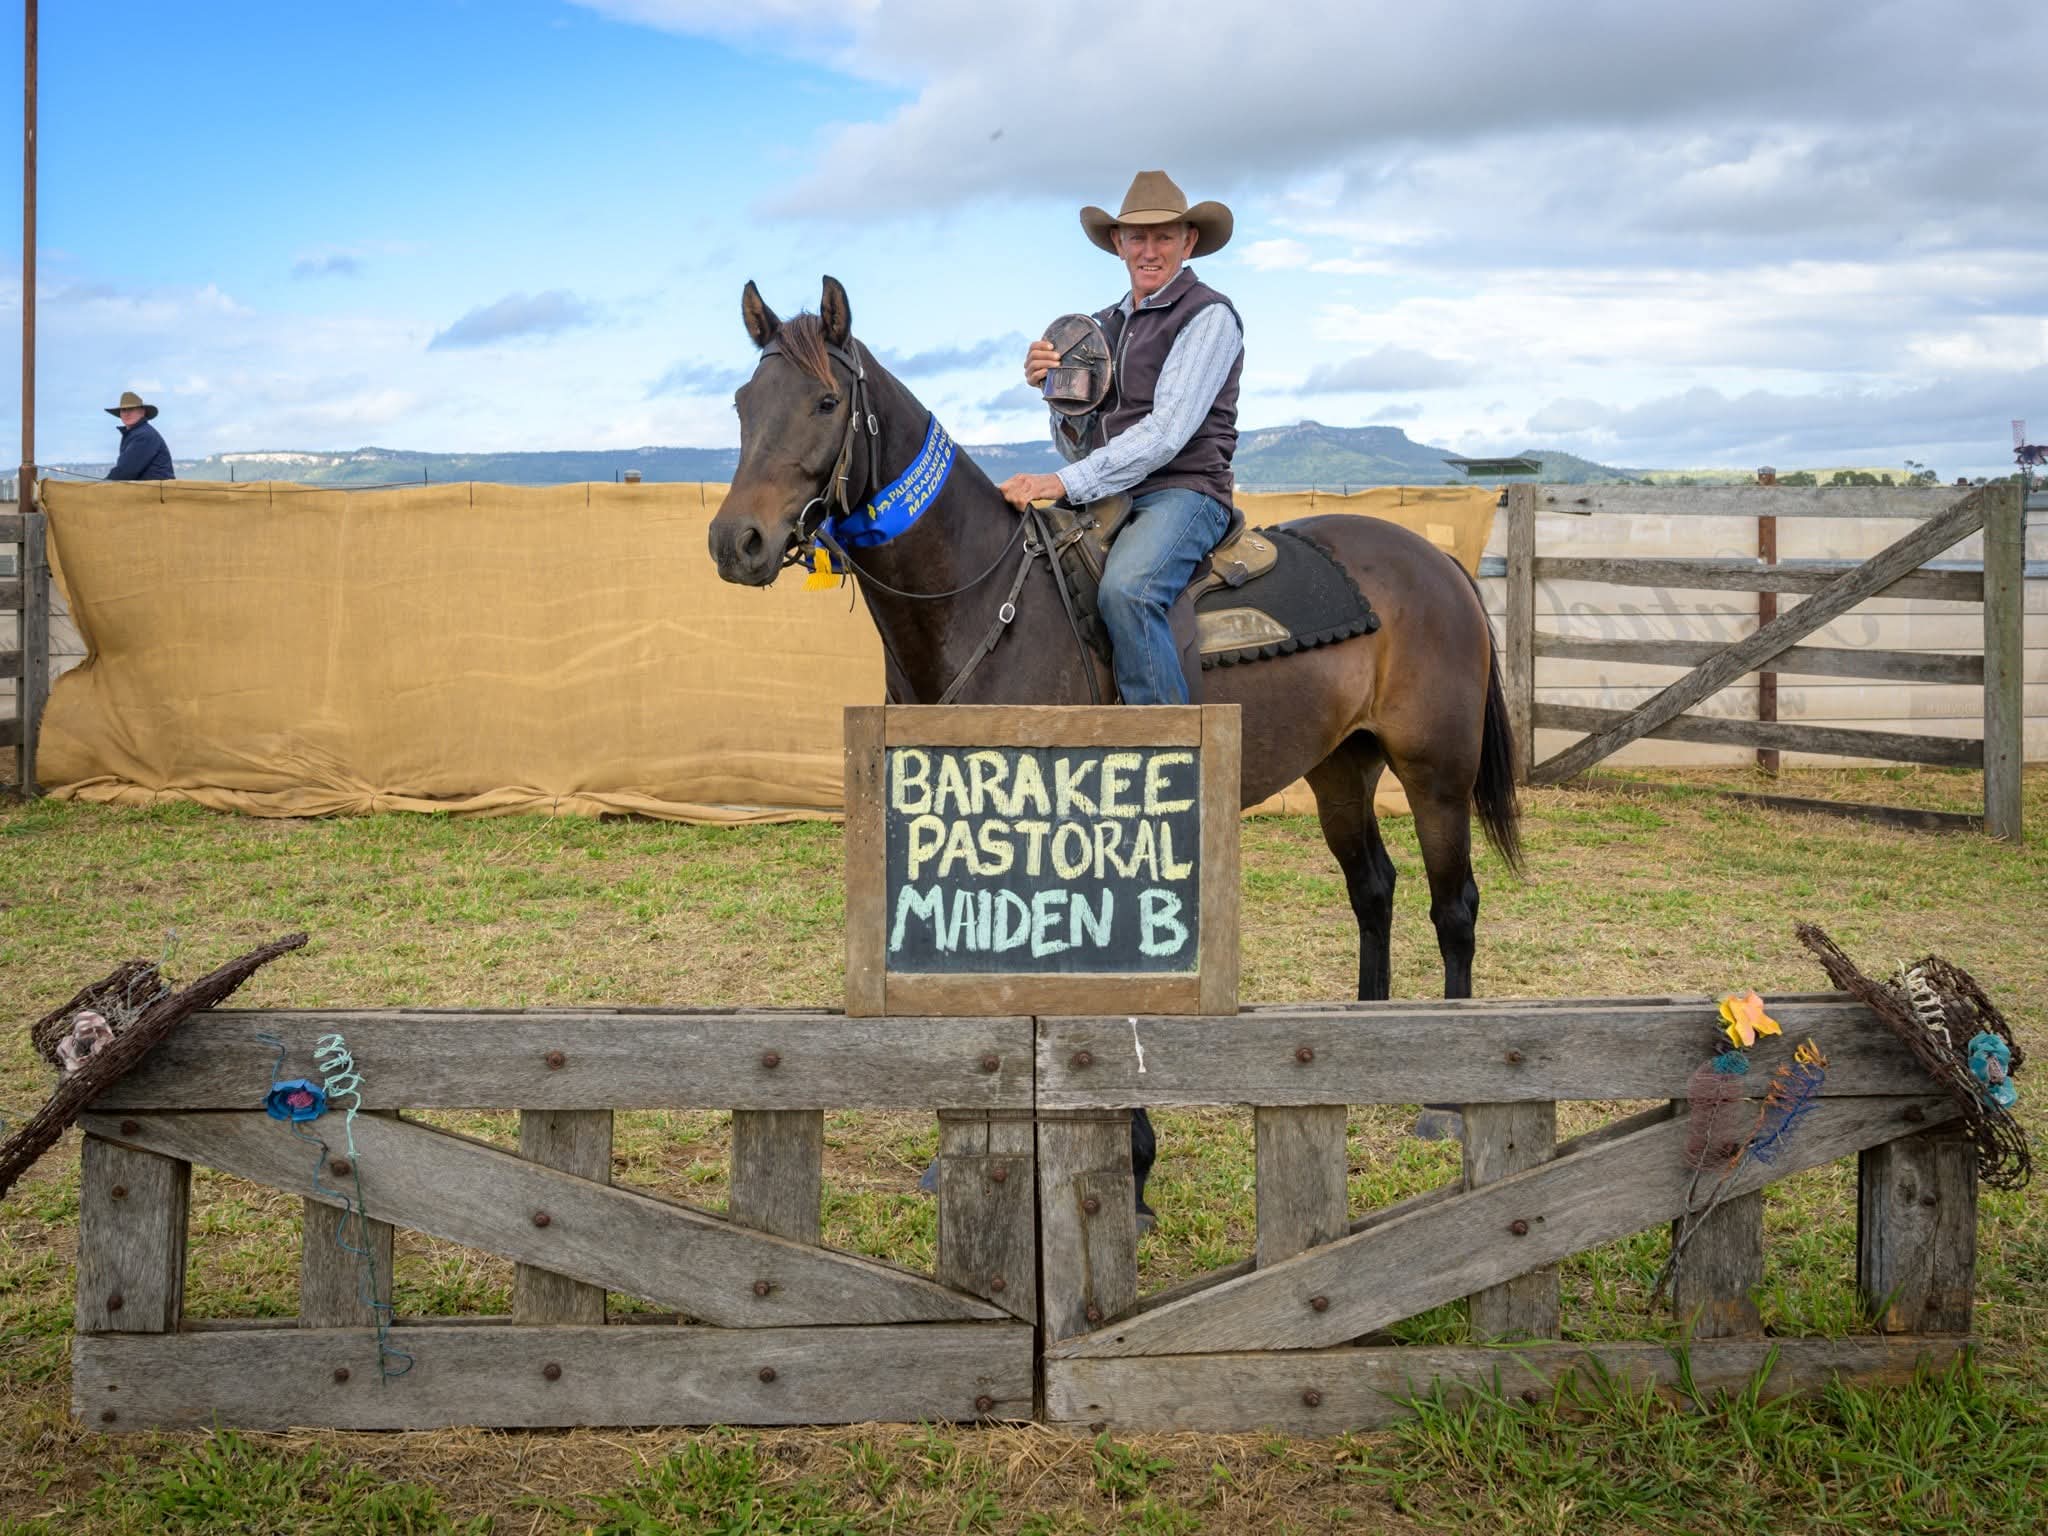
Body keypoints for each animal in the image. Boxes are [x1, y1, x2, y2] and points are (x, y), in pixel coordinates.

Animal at [708, 277, 1522, 1202]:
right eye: (742, 403)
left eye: (824, 401)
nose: (736, 541)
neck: (985, 603)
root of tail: (1440, 562)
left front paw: (1130, 1158)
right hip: (1339, 770)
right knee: (1373, 888)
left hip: (1437, 772)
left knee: (1454, 906)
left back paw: (1446, 1102)